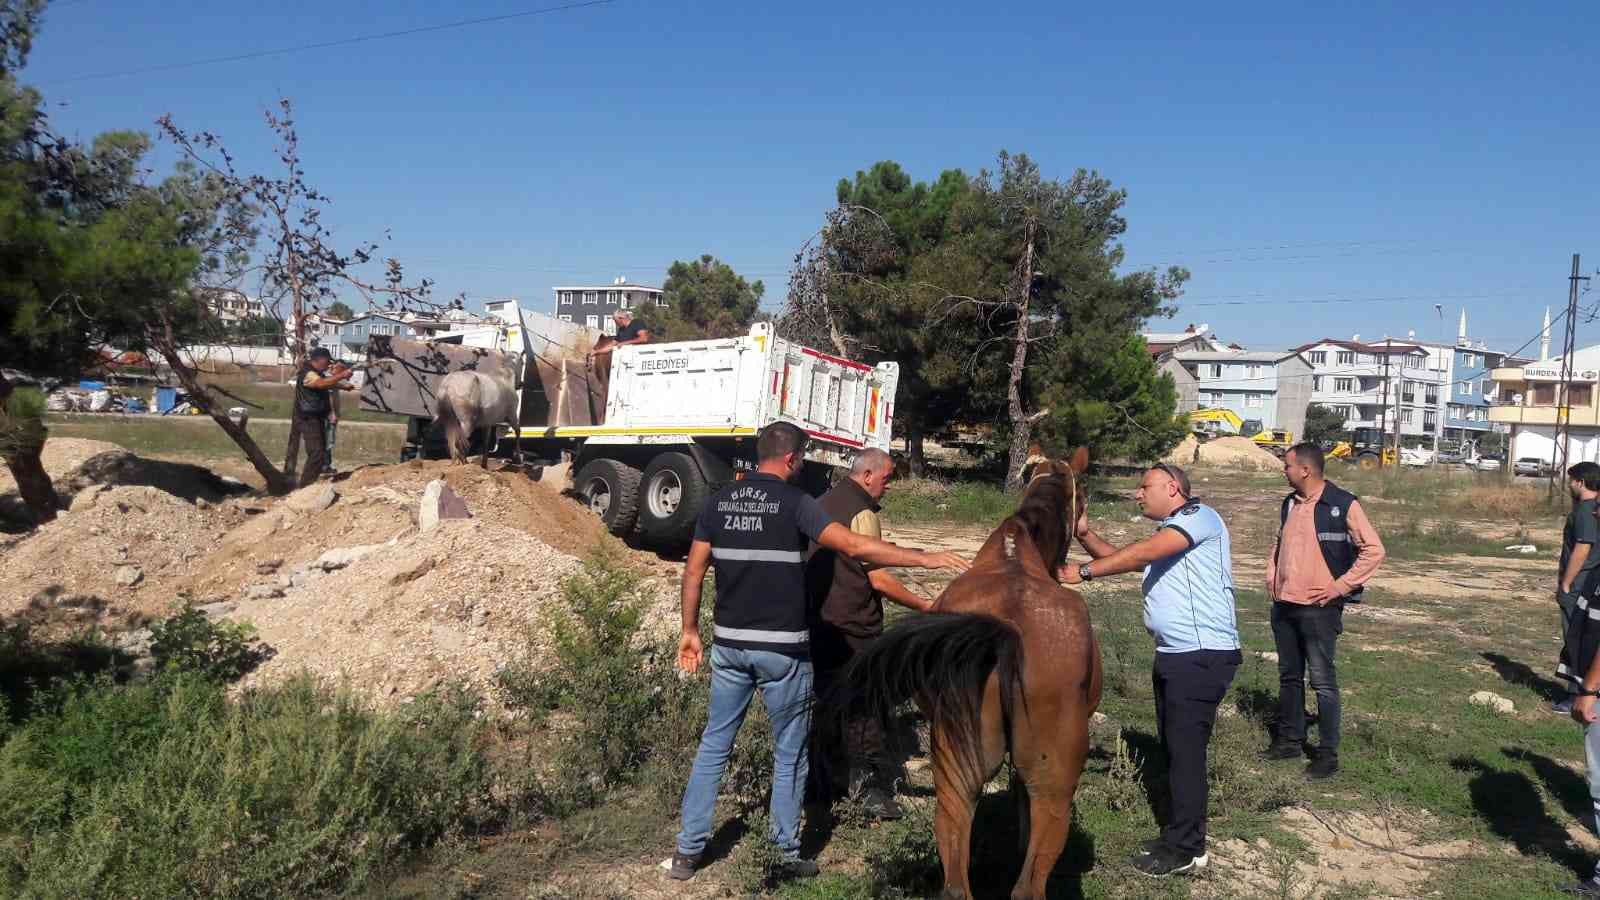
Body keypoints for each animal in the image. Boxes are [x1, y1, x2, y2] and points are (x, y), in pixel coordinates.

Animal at [825, 445, 1100, 896]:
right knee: (1028, 884)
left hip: (955, 773)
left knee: (956, 881)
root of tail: (1006, 634)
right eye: (1084, 501)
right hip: (1054, 789)